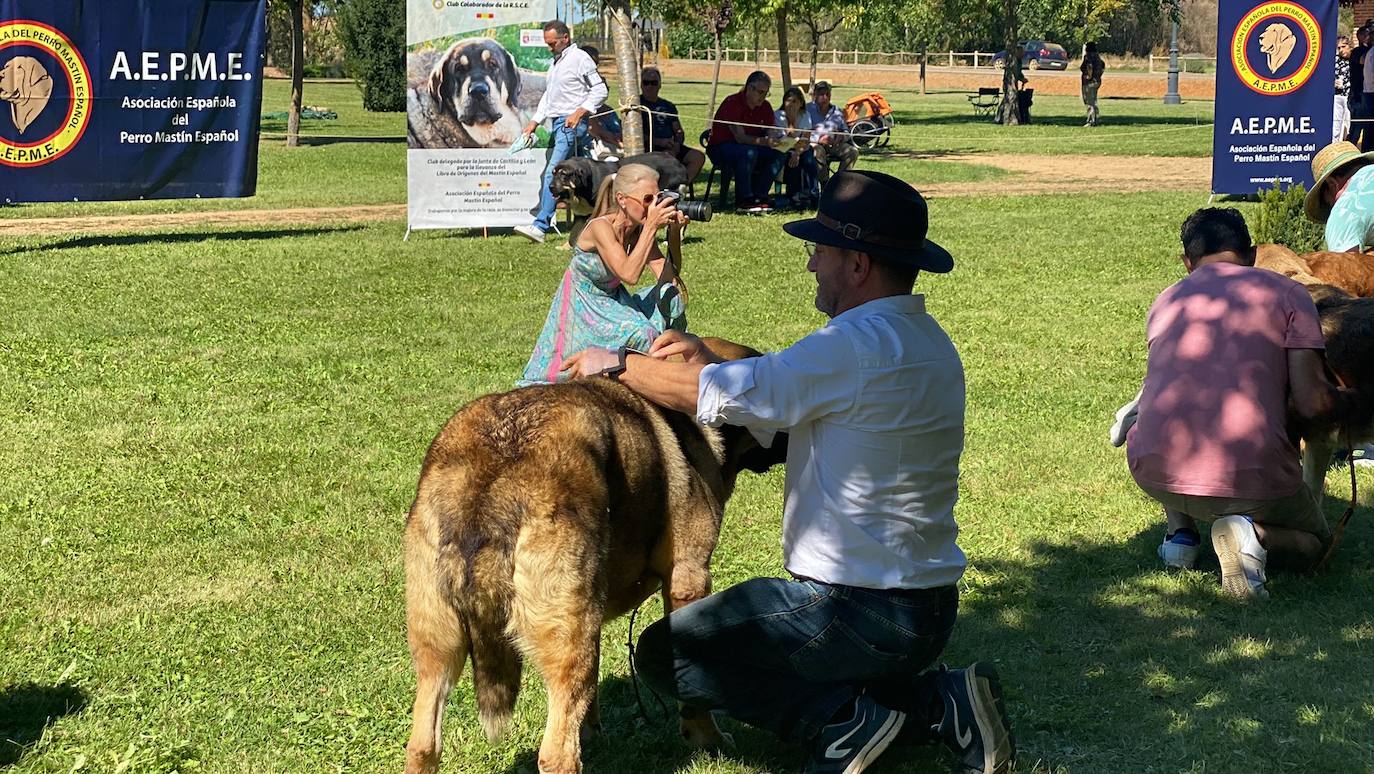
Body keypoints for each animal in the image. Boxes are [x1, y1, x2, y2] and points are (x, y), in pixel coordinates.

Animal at [401, 339, 785, 774]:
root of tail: (490, 483)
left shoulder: (592, 610)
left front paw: (594, 733)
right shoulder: (689, 578)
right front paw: (708, 739)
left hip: (440, 644)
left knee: (423, 744)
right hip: (563, 638)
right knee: (556, 755)